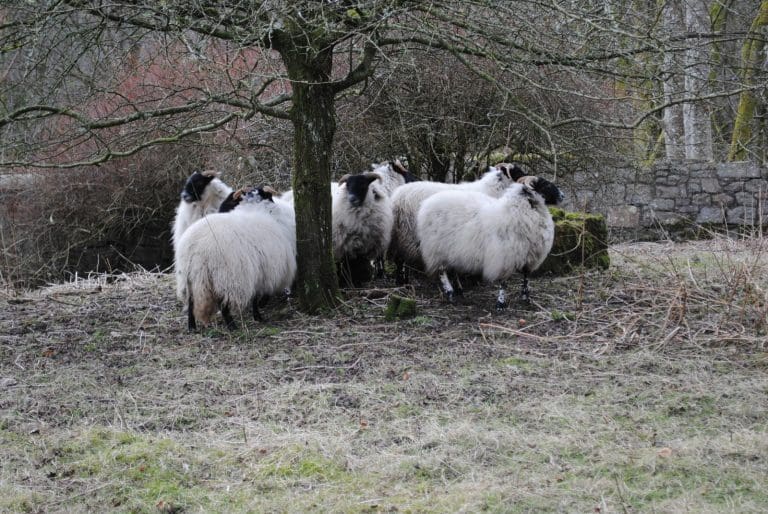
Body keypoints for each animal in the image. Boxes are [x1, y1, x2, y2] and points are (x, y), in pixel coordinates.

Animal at [174, 186, 296, 331]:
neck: (257, 208)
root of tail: (198, 247)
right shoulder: (264, 269)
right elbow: (257, 295)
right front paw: (258, 314)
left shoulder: (257, 270)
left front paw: (258, 313)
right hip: (227, 275)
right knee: (223, 303)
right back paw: (231, 325)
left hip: (190, 276)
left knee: (191, 301)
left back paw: (192, 326)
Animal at [388, 163, 525, 283]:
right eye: (517, 172)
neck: (493, 190)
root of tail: (397, 199)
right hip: (408, 232)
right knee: (401, 258)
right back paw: (403, 281)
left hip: (401, 233)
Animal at [416, 180, 560, 310]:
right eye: (546, 185)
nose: (562, 195)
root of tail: (426, 204)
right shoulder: (505, 258)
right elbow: (504, 283)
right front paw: (501, 304)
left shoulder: (529, 257)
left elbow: (525, 278)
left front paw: (526, 299)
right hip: (436, 248)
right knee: (442, 271)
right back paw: (450, 293)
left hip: (453, 250)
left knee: (452, 269)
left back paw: (459, 291)